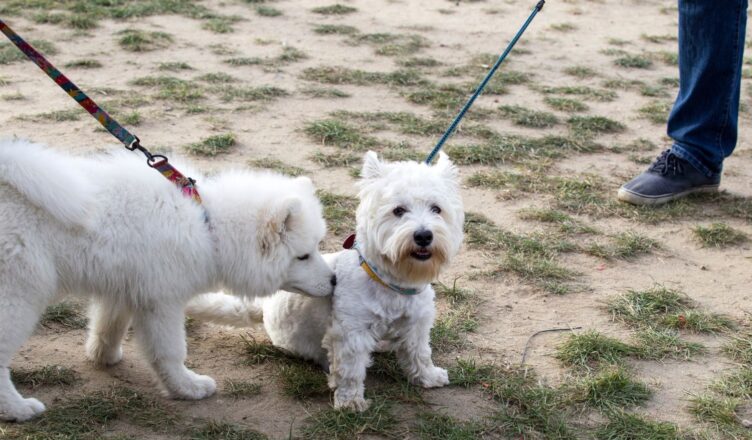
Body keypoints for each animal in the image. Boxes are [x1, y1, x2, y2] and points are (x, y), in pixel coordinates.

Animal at [0, 139, 334, 422]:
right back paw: (18, 410)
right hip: (18, 297)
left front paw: (104, 357)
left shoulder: (125, 288)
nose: (333, 280)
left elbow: (108, 326)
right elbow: (171, 351)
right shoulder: (162, 301)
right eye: (303, 256)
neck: (208, 227)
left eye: (317, 247)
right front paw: (187, 388)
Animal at [187, 152, 464, 412]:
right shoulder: (351, 333)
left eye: (437, 209)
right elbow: (351, 371)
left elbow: (420, 353)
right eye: (398, 210)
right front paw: (350, 403)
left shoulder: (416, 324)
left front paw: (428, 377)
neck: (392, 282)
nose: (423, 235)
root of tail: (264, 307)